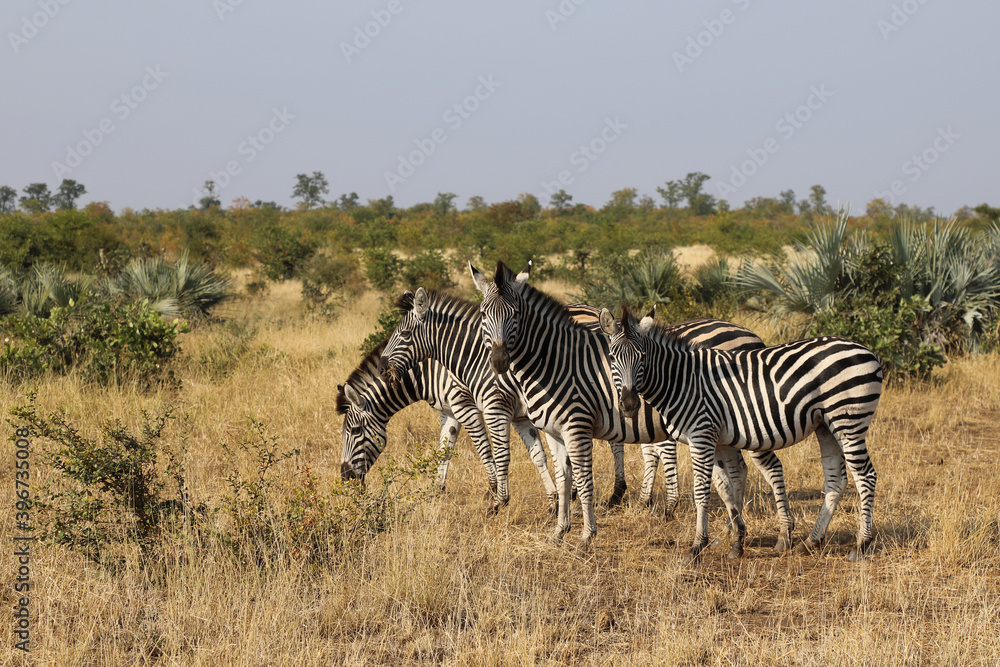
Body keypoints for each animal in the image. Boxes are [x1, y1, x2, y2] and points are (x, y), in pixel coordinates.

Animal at [337, 341, 559, 507]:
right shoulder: (449, 411)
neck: (427, 373)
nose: (345, 477)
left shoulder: (464, 405)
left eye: (355, 430)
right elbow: (444, 450)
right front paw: (436, 491)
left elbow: (484, 448)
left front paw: (492, 490)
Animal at [380, 265, 797, 555]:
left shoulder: (500, 407)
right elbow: (546, 466)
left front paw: (500, 502)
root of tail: (751, 334)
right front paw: (554, 516)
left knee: (768, 467)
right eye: (484, 316)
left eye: (402, 334)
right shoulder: (534, 420)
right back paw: (725, 527)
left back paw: (778, 534)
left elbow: (503, 455)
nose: (384, 366)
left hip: (748, 420)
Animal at [598, 303, 883, 561]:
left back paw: (861, 545)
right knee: (836, 480)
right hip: (826, 425)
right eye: (611, 357)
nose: (629, 405)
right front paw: (737, 543)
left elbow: (702, 491)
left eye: (642, 357)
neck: (681, 381)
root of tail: (869, 352)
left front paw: (696, 547)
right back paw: (811, 542)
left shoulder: (701, 435)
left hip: (848, 420)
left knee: (866, 476)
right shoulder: (718, 439)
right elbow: (726, 488)